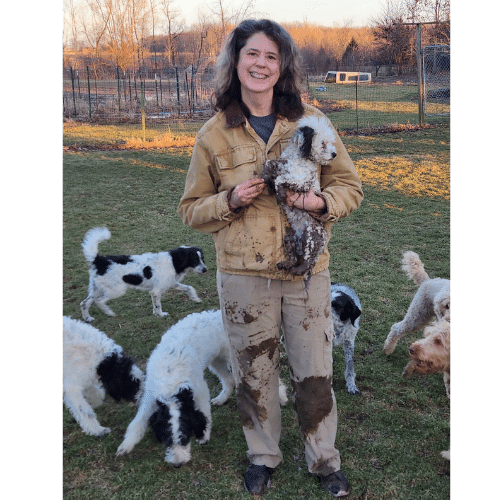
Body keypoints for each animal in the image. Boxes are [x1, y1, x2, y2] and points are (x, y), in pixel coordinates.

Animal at [79, 229, 207, 322]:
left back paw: (87, 318)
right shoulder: (157, 291)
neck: (173, 261)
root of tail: (99, 260)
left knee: (84, 303)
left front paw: (195, 298)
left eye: (202, 258)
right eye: (195, 260)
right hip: (116, 290)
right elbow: (158, 305)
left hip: (96, 289)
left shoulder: (169, 284)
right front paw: (161, 315)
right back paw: (109, 312)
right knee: (99, 301)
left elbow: (189, 288)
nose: (205, 270)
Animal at [260, 113, 338, 286]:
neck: (298, 158)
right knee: (295, 259)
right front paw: (265, 175)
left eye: (330, 142)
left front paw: (280, 194)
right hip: (289, 237)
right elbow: (270, 164)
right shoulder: (281, 166)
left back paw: (296, 270)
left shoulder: (302, 183)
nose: (334, 154)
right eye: (323, 143)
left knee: (306, 264)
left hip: (310, 238)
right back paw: (285, 264)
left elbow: (280, 180)